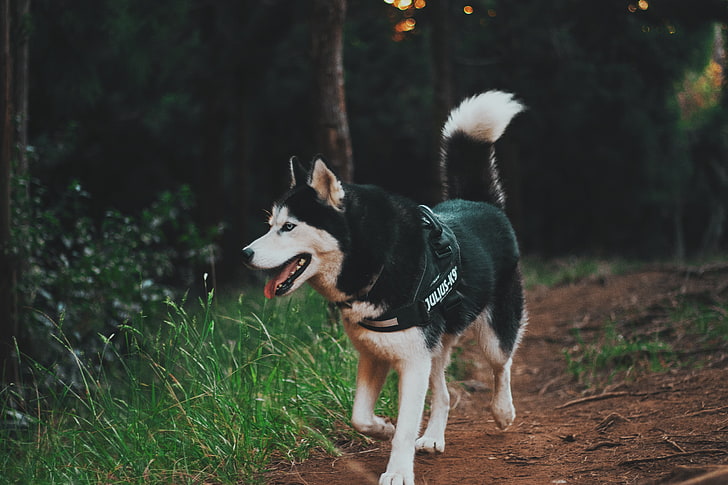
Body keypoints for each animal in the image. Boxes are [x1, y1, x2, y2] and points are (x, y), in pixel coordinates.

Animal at [242, 91, 528, 484]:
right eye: (271, 224)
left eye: (289, 227)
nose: (245, 254)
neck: (373, 262)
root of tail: (479, 203)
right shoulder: (374, 354)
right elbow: (359, 417)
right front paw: (382, 428)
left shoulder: (412, 361)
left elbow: (406, 426)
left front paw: (397, 471)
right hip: (435, 348)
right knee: (444, 394)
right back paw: (435, 436)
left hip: (491, 334)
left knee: (503, 365)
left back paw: (502, 411)